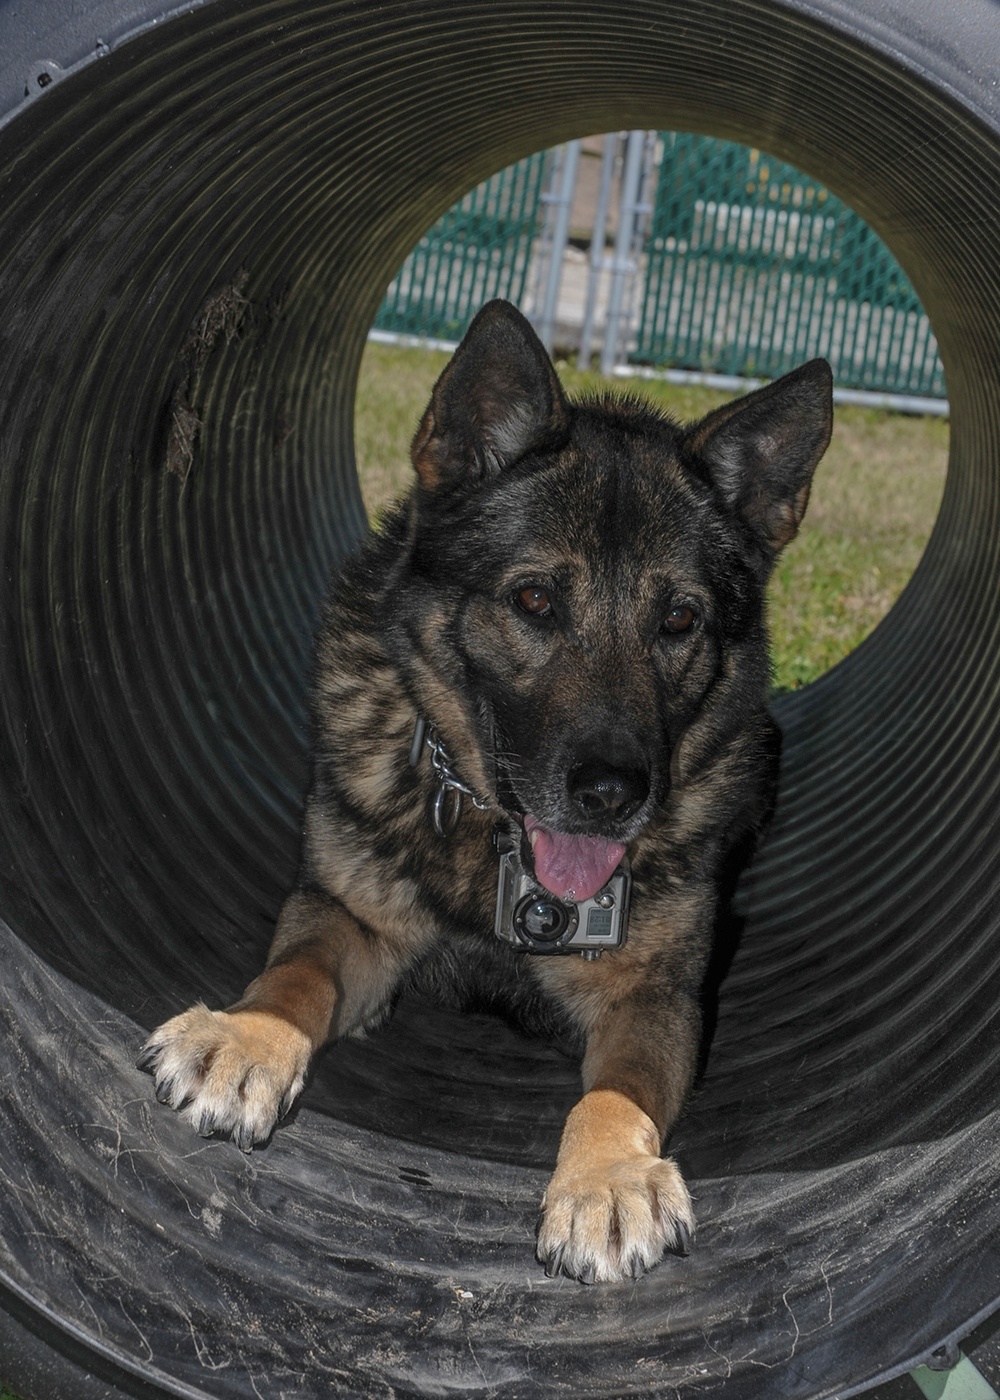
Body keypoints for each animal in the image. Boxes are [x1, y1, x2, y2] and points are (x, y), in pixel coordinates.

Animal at [137, 301, 823, 1282]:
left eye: (680, 619)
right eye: (534, 600)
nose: (612, 794)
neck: (496, 842)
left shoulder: (654, 998)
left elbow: (615, 1095)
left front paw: (609, 1178)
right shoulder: (351, 919)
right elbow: (297, 971)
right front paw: (246, 1035)